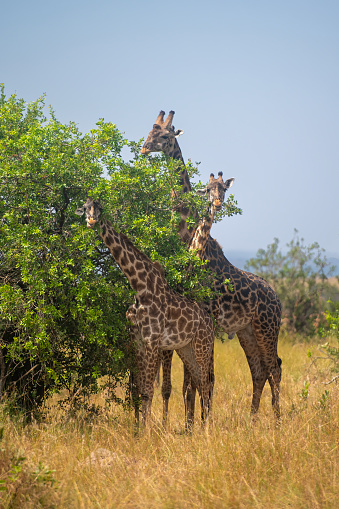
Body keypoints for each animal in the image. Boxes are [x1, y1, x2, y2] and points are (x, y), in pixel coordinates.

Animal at [75, 196, 215, 426]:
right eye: (86, 208)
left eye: (100, 208)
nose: (92, 221)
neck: (139, 287)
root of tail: (211, 322)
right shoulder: (138, 341)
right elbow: (140, 390)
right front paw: (140, 429)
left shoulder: (152, 340)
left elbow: (148, 391)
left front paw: (147, 430)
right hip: (187, 348)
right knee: (199, 383)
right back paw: (202, 426)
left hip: (203, 346)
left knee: (205, 384)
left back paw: (207, 429)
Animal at [141, 112, 284, 420]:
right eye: (149, 132)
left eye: (165, 136)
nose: (144, 149)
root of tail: (278, 299)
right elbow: (191, 380)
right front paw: (188, 422)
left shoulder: (208, 317)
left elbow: (201, 379)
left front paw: (194, 422)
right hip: (247, 331)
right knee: (260, 370)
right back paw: (253, 420)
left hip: (267, 328)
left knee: (274, 367)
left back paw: (278, 421)